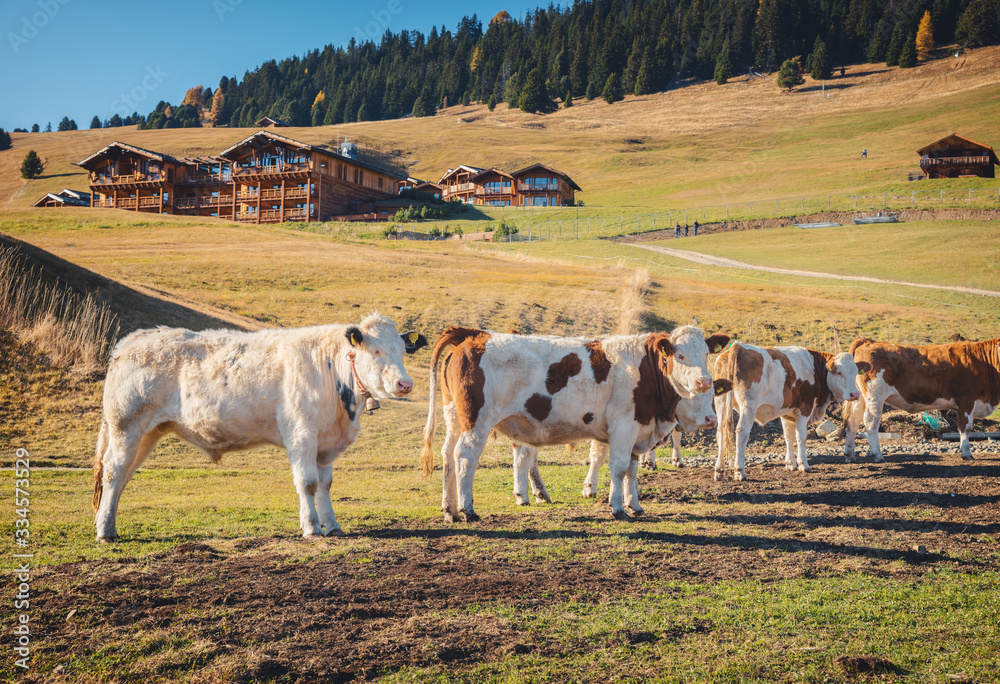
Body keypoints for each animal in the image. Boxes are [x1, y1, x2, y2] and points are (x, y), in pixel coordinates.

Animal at [90, 312, 426, 544]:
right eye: (376, 351)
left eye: (402, 351)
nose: (405, 384)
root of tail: (132, 341)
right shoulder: (301, 435)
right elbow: (308, 483)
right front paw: (311, 528)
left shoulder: (326, 443)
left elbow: (325, 485)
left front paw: (332, 526)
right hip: (126, 426)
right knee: (114, 472)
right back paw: (105, 531)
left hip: (148, 432)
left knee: (122, 475)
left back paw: (106, 524)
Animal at [420, 324, 728, 520]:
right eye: (680, 355)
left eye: (706, 353)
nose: (704, 381)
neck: (645, 370)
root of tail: (476, 334)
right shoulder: (624, 427)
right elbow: (618, 468)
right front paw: (617, 507)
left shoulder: (636, 431)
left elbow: (631, 470)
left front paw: (635, 505)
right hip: (477, 421)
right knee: (464, 458)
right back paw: (467, 510)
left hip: (455, 418)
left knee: (447, 456)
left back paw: (449, 510)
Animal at [712, 342, 860, 480]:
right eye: (839, 372)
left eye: (855, 372)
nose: (855, 394)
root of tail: (739, 346)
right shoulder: (805, 407)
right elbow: (801, 436)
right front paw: (803, 464)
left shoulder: (786, 411)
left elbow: (789, 436)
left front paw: (790, 464)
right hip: (748, 406)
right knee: (742, 433)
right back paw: (739, 471)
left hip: (721, 402)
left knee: (720, 432)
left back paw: (719, 471)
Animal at [844, 336, 1000, 462]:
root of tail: (867, 340)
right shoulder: (966, 400)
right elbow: (965, 427)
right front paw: (967, 453)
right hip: (875, 397)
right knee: (871, 422)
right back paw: (878, 456)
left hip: (859, 398)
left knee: (853, 421)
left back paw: (849, 455)